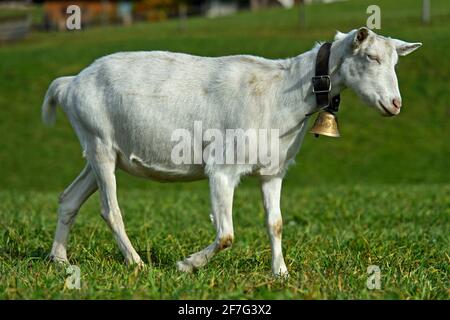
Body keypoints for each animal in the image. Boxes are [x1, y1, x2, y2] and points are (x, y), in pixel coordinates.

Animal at [42, 27, 422, 276]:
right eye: (371, 57)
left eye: (394, 63)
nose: (395, 104)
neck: (282, 91)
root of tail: (70, 83)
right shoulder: (223, 168)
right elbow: (226, 234)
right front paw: (186, 265)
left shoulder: (272, 171)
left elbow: (275, 223)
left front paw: (281, 273)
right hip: (99, 142)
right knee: (110, 209)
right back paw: (136, 263)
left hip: (100, 150)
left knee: (69, 197)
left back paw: (59, 260)